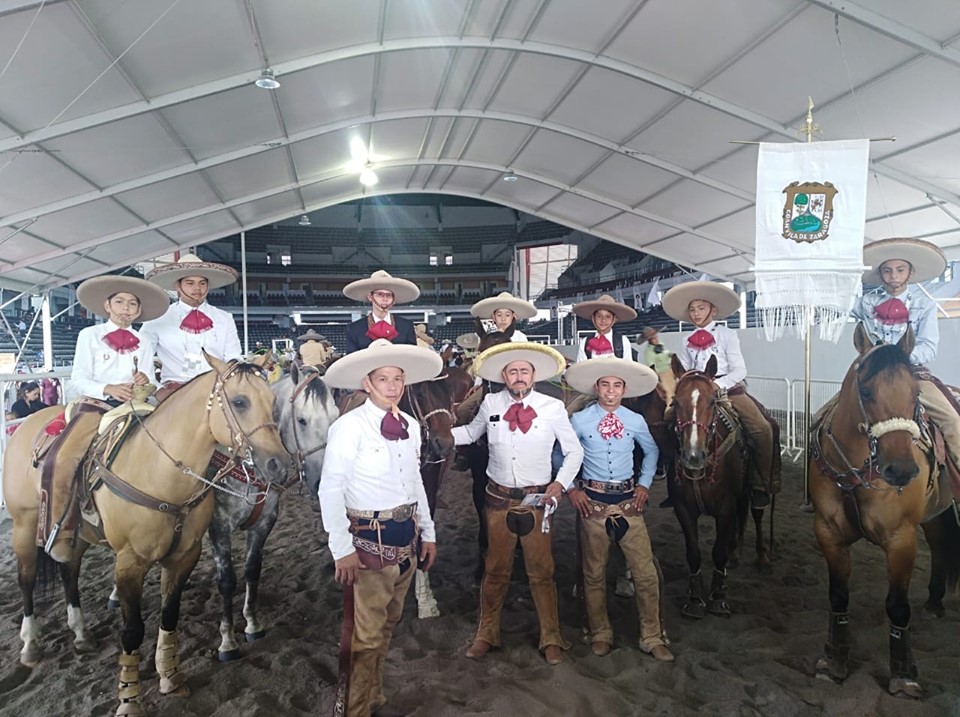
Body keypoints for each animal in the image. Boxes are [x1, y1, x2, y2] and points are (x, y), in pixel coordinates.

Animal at [2, 353, 289, 717]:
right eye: (239, 402)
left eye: (273, 401)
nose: (279, 464)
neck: (158, 472)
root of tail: (27, 424)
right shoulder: (130, 562)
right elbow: (133, 631)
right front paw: (129, 700)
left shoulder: (185, 556)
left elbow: (170, 616)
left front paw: (170, 677)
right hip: (25, 526)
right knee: (26, 580)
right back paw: (31, 644)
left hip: (75, 535)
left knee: (69, 573)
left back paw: (81, 634)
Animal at [210, 362, 338, 661]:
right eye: (301, 420)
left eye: (336, 417)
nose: (322, 481)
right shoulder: (219, 527)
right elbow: (226, 581)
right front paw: (227, 641)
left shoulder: (264, 522)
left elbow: (252, 569)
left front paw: (252, 624)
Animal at [669, 353, 770, 620]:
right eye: (675, 401)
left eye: (712, 401)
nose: (693, 457)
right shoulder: (683, 508)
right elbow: (694, 553)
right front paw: (695, 599)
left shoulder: (726, 507)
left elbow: (718, 552)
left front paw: (717, 597)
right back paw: (736, 553)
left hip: (753, 490)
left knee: (756, 513)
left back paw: (761, 557)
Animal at [809, 324, 960, 698]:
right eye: (866, 391)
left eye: (915, 393)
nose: (902, 470)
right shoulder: (828, 533)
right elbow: (838, 596)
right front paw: (833, 661)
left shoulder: (901, 539)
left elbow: (897, 606)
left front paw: (903, 675)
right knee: (939, 545)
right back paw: (934, 601)